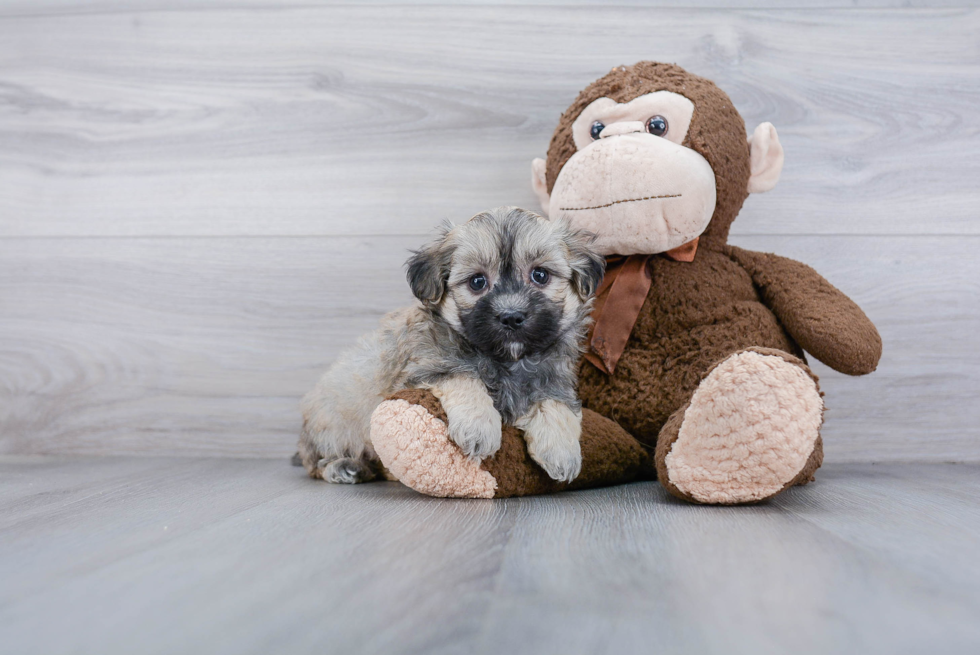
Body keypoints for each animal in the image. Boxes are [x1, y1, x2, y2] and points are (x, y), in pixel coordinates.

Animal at [298, 208, 604, 484]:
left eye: (540, 275)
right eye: (477, 282)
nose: (511, 316)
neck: (507, 359)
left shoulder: (554, 380)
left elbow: (556, 405)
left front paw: (562, 452)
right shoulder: (426, 369)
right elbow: (466, 377)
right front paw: (479, 429)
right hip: (333, 422)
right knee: (316, 463)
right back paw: (344, 467)